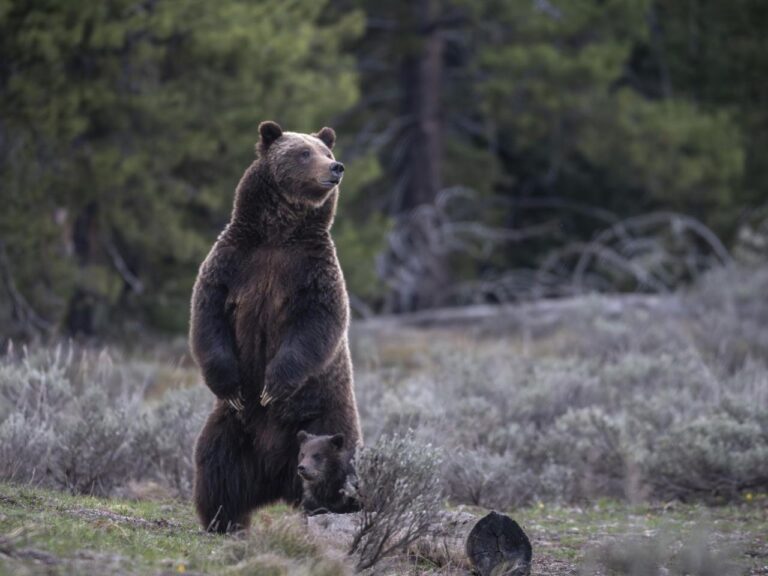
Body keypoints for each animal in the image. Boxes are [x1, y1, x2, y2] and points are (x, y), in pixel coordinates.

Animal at [190, 120, 362, 532]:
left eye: (327, 152)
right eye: (303, 152)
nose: (336, 168)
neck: (278, 233)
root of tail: (276, 477)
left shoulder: (312, 271)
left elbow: (317, 324)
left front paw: (273, 386)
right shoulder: (234, 262)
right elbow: (208, 316)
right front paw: (233, 386)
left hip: (326, 418)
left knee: (338, 464)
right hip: (234, 429)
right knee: (216, 465)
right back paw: (223, 519)